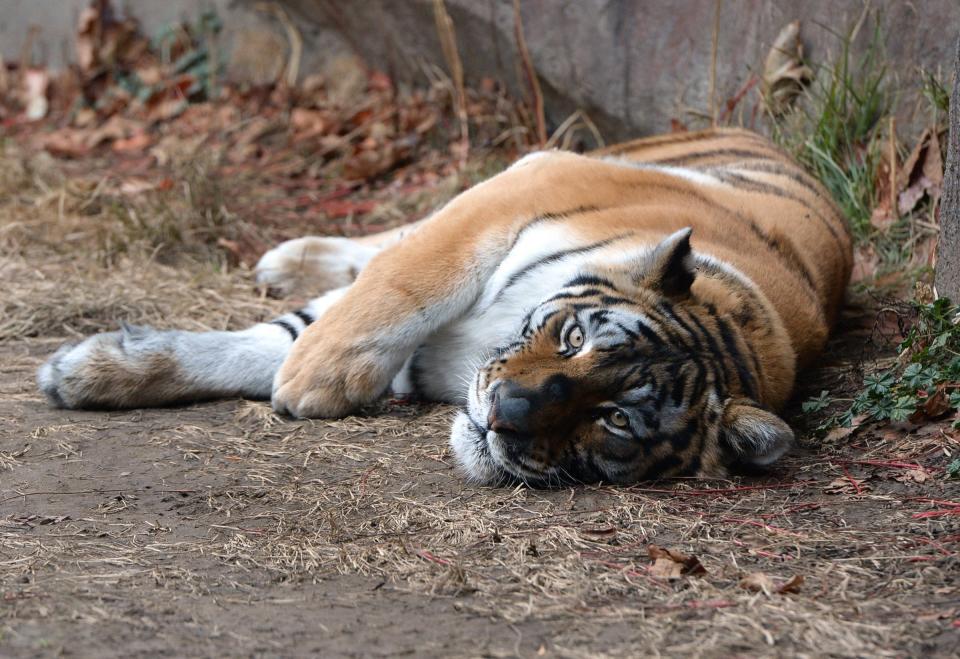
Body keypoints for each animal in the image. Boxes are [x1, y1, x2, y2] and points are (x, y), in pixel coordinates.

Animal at [37, 129, 852, 488]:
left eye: (615, 419)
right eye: (573, 338)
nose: (507, 415)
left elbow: (275, 341)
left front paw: (95, 371)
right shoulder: (521, 190)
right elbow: (400, 282)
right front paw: (313, 377)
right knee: (388, 242)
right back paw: (286, 258)